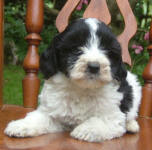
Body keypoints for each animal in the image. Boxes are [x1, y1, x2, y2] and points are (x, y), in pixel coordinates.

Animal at [5, 18, 142, 142]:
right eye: (76, 49)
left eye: (108, 51)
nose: (94, 66)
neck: (82, 89)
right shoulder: (52, 110)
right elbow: (39, 117)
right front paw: (20, 126)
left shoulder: (112, 115)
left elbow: (100, 120)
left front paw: (86, 129)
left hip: (135, 90)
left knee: (131, 114)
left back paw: (131, 126)